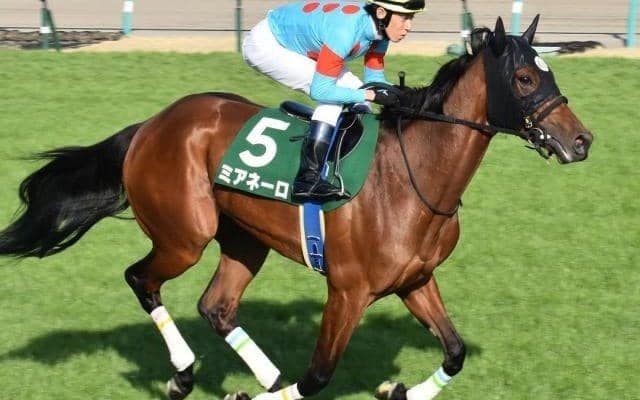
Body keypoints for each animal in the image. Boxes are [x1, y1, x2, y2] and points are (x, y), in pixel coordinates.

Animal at [0, 16, 592, 400]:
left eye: (551, 74)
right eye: (524, 78)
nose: (581, 141)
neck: (413, 179)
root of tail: (151, 124)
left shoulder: (416, 280)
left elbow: (455, 352)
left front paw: (396, 390)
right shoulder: (348, 291)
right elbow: (317, 377)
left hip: (244, 239)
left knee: (216, 306)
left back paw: (261, 374)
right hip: (184, 236)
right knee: (141, 279)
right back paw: (184, 374)